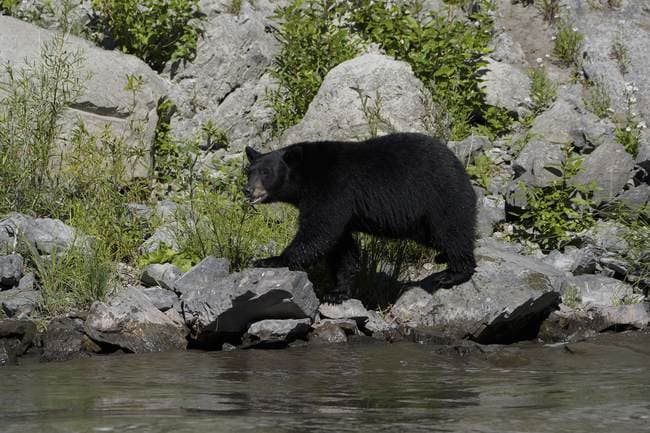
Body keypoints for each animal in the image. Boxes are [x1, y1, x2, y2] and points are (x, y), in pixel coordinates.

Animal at [245, 132, 477, 302]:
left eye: (266, 172)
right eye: (249, 171)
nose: (247, 190)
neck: (306, 175)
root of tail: (459, 165)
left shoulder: (332, 189)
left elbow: (318, 232)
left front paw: (270, 260)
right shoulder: (341, 208)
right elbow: (342, 249)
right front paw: (337, 291)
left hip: (440, 196)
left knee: (452, 231)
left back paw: (452, 273)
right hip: (421, 222)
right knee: (437, 236)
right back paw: (443, 257)